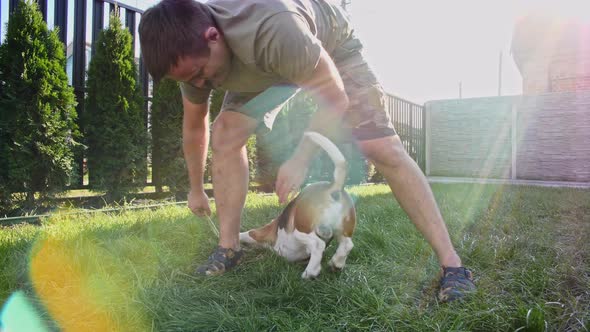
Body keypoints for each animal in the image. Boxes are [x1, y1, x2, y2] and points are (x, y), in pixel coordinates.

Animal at [239, 131, 356, 278]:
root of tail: (333, 189)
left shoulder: (258, 233)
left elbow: (246, 234)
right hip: (341, 229)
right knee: (347, 244)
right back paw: (336, 263)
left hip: (301, 228)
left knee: (318, 244)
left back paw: (310, 272)